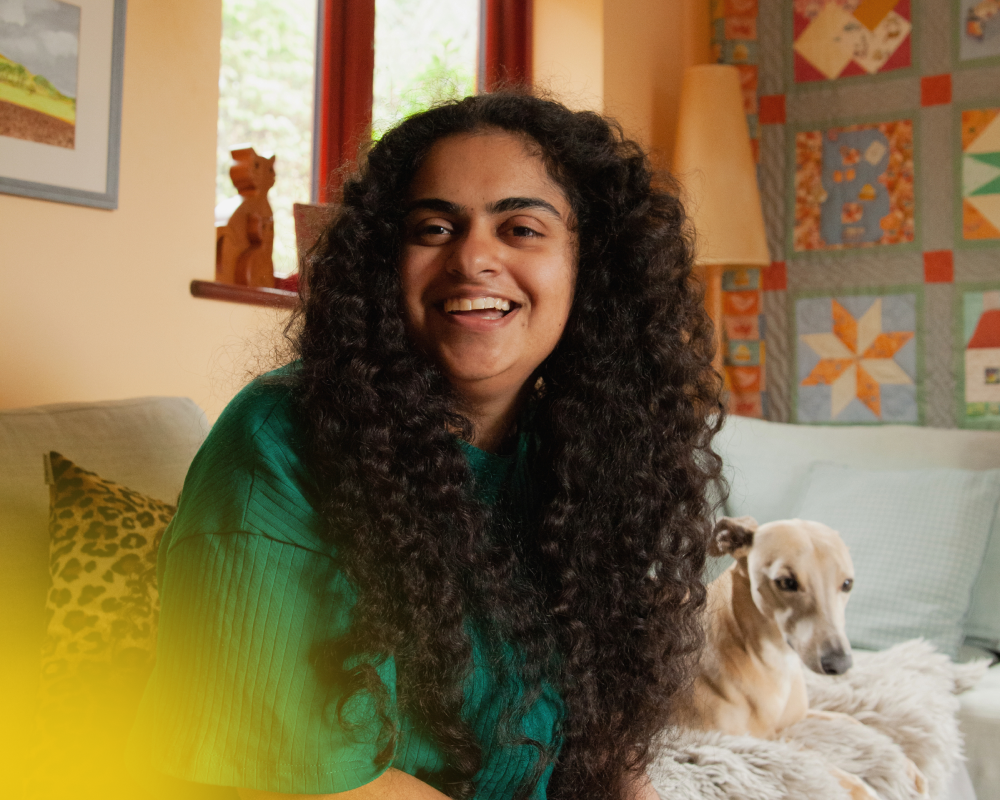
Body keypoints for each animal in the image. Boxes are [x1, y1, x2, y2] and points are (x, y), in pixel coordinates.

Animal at [680, 516, 928, 796]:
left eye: (847, 583)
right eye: (786, 582)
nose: (839, 663)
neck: (772, 660)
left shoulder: (799, 716)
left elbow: (853, 722)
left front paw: (906, 766)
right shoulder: (750, 741)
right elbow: (830, 771)